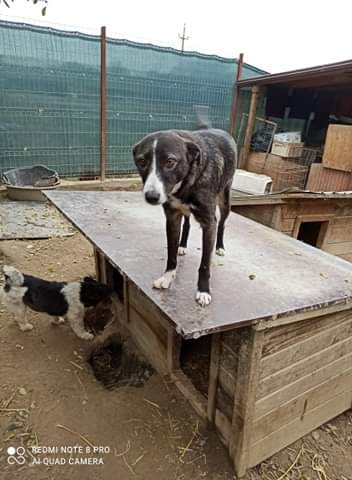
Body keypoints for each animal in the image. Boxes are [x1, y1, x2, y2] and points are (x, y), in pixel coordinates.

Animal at [133, 115, 238, 308]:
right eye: (141, 161)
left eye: (170, 162)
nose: (151, 196)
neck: (185, 184)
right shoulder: (172, 217)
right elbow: (171, 253)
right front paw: (167, 277)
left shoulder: (208, 222)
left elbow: (204, 264)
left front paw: (203, 291)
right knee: (188, 224)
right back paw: (182, 245)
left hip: (225, 200)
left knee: (222, 224)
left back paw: (219, 247)